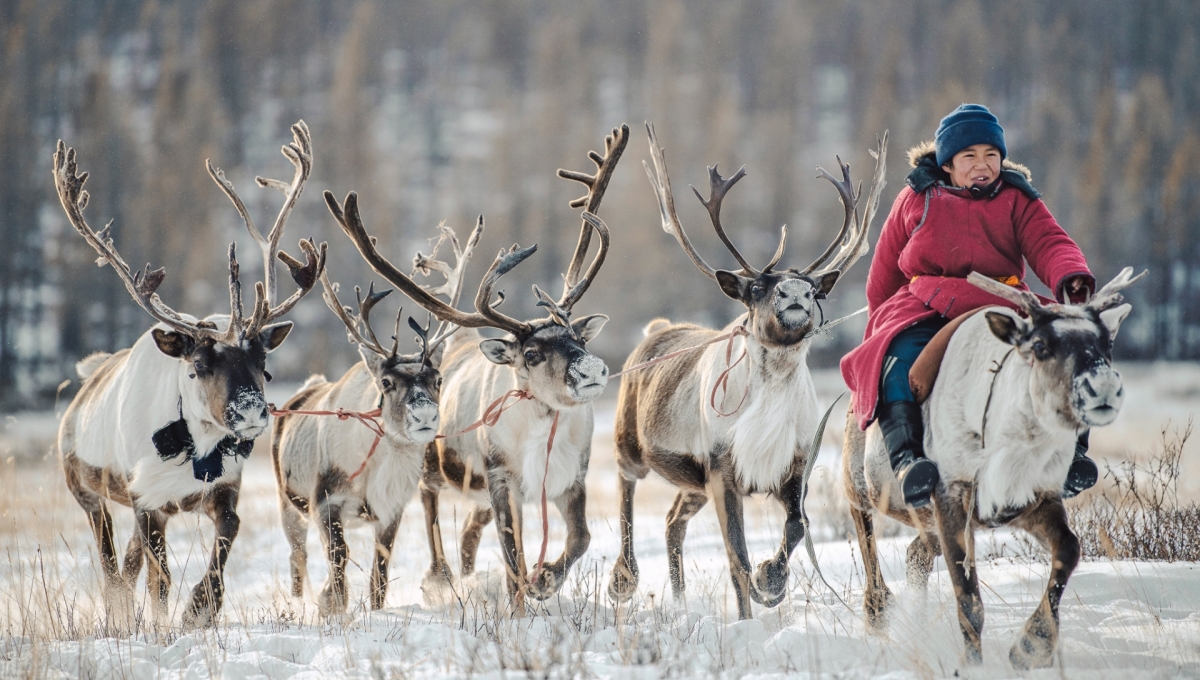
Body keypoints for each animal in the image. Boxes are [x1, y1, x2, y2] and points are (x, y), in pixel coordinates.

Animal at [53, 121, 325, 627]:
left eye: (265, 366)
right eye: (199, 366)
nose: (250, 412)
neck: (195, 448)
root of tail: (88, 380)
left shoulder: (223, 490)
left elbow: (224, 542)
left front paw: (200, 609)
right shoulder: (146, 500)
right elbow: (159, 579)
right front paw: (165, 622)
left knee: (127, 567)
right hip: (86, 491)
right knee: (110, 565)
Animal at [270, 219, 482, 616]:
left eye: (438, 379)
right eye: (386, 382)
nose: (425, 414)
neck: (374, 470)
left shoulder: (391, 510)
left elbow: (379, 576)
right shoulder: (325, 502)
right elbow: (339, 562)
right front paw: (331, 607)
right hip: (288, 503)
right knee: (297, 557)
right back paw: (297, 602)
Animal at [328, 125, 628, 608]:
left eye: (579, 338)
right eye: (531, 354)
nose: (592, 370)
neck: (542, 426)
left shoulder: (571, 478)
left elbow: (579, 538)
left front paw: (545, 580)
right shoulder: (501, 477)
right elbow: (511, 556)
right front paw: (523, 599)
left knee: (470, 531)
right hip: (433, 468)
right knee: (433, 510)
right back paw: (440, 578)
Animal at [607, 124, 887, 621]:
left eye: (814, 289)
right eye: (757, 286)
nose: (794, 291)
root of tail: (655, 329)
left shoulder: (793, 469)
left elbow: (796, 528)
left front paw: (770, 580)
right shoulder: (723, 471)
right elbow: (735, 555)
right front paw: (747, 613)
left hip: (692, 483)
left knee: (672, 521)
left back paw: (680, 600)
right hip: (631, 443)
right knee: (626, 490)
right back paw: (624, 578)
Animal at [842, 268, 1144, 668]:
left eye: (1107, 344)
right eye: (1040, 345)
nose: (1104, 388)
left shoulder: (1035, 498)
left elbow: (1069, 548)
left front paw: (1033, 645)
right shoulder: (951, 498)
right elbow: (969, 603)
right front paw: (973, 664)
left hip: (925, 521)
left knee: (916, 553)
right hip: (859, 481)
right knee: (865, 533)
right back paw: (877, 611)